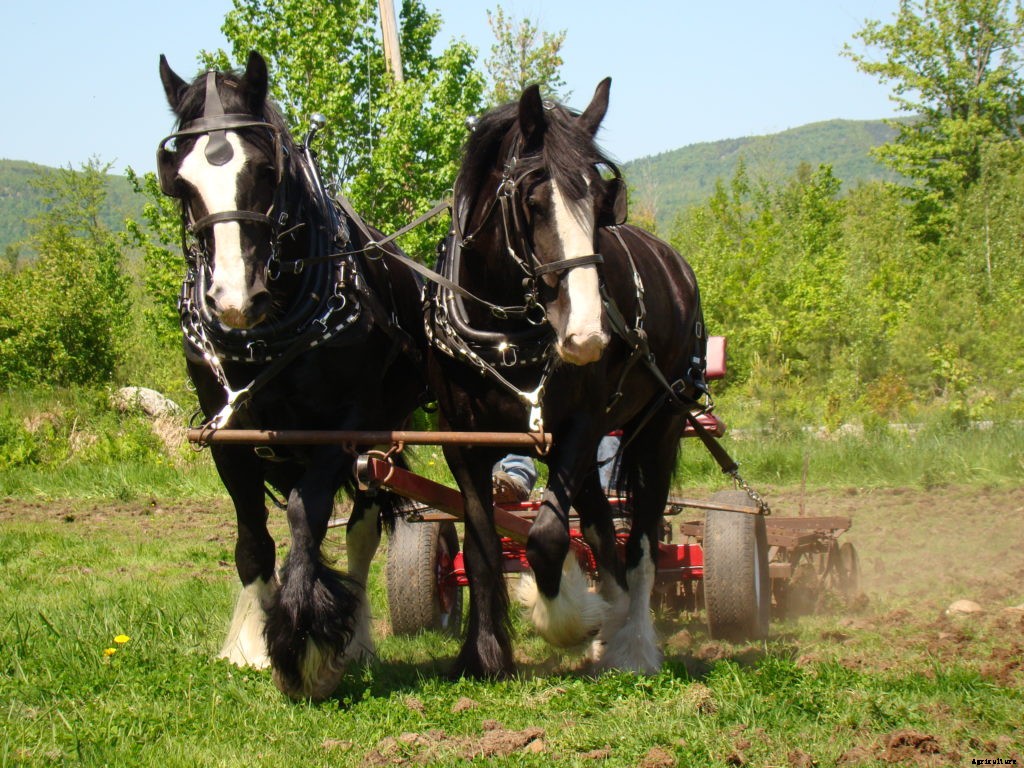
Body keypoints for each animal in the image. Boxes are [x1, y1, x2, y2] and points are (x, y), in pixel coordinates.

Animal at [157, 51, 427, 700]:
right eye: (180, 179)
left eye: (263, 170)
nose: (233, 299)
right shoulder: (227, 434)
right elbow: (253, 540)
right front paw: (257, 644)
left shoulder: (343, 427)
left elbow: (308, 517)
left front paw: (305, 643)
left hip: (379, 436)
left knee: (362, 528)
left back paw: (356, 638)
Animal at [425, 79, 706, 677]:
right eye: (532, 203)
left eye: (602, 204)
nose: (587, 335)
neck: (503, 331)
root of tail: (675, 265)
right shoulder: (463, 440)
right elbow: (481, 548)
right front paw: (485, 653)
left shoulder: (579, 424)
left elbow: (550, 537)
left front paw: (567, 619)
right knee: (602, 530)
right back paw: (611, 628)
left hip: (662, 426)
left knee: (640, 541)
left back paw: (633, 644)